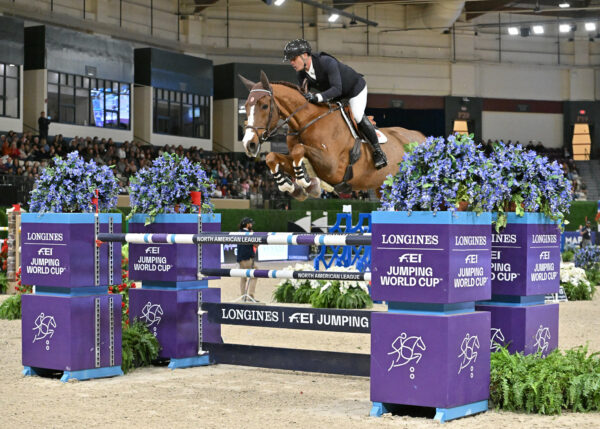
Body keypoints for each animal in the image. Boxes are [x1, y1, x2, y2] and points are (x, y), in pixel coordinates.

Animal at [239, 71, 426, 200]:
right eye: (245, 107)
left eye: (264, 106)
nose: (249, 144)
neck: (306, 122)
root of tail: (423, 138)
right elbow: (273, 157)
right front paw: (290, 186)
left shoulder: (333, 167)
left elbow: (299, 150)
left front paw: (306, 183)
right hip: (383, 188)